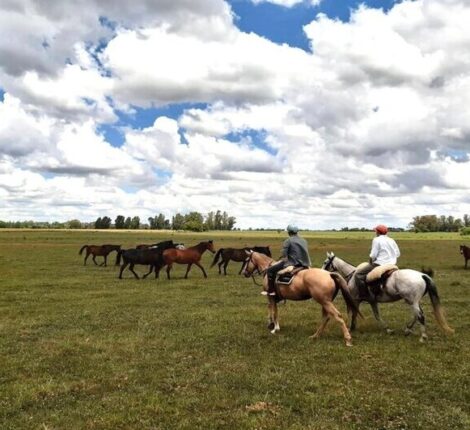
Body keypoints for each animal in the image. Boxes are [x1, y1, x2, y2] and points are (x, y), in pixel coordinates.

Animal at [322, 252, 454, 342]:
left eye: (325, 262)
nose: (322, 272)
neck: (353, 275)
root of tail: (422, 275)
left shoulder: (356, 300)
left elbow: (356, 313)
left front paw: (351, 328)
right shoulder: (372, 301)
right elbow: (375, 315)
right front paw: (387, 329)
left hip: (412, 301)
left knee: (420, 316)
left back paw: (422, 336)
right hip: (413, 301)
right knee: (417, 315)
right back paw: (407, 330)